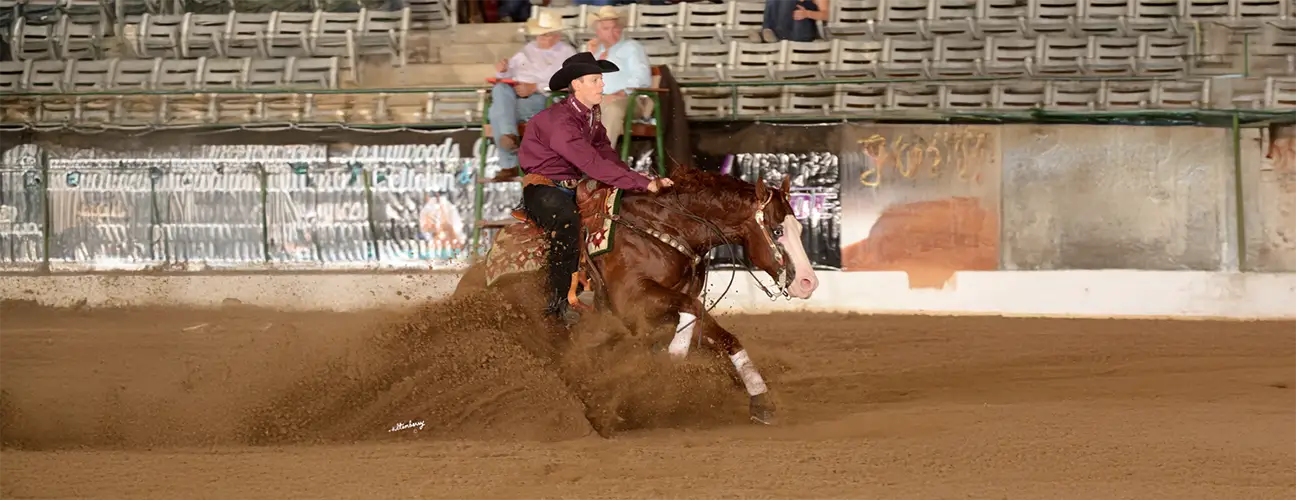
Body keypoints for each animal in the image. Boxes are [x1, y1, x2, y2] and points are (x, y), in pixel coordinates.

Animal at [453, 164, 820, 426]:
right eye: (776, 230)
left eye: (800, 228)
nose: (808, 282)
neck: (664, 228)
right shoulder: (633, 302)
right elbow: (692, 311)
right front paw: (670, 356)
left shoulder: (667, 305)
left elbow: (717, 331)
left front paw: (760, 399)